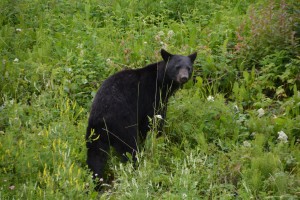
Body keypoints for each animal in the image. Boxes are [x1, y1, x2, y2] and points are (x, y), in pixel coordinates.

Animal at [85, 48, 197, 184]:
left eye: (189, 68)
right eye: (177, 67)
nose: (183, 77)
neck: (162, 82)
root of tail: (103, 119)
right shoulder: (151, 98)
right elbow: (153, 122)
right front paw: (159, 140)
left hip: (94, 131)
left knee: (95, 155)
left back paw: (98, 180)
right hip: (123, 124)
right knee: (129, 148)